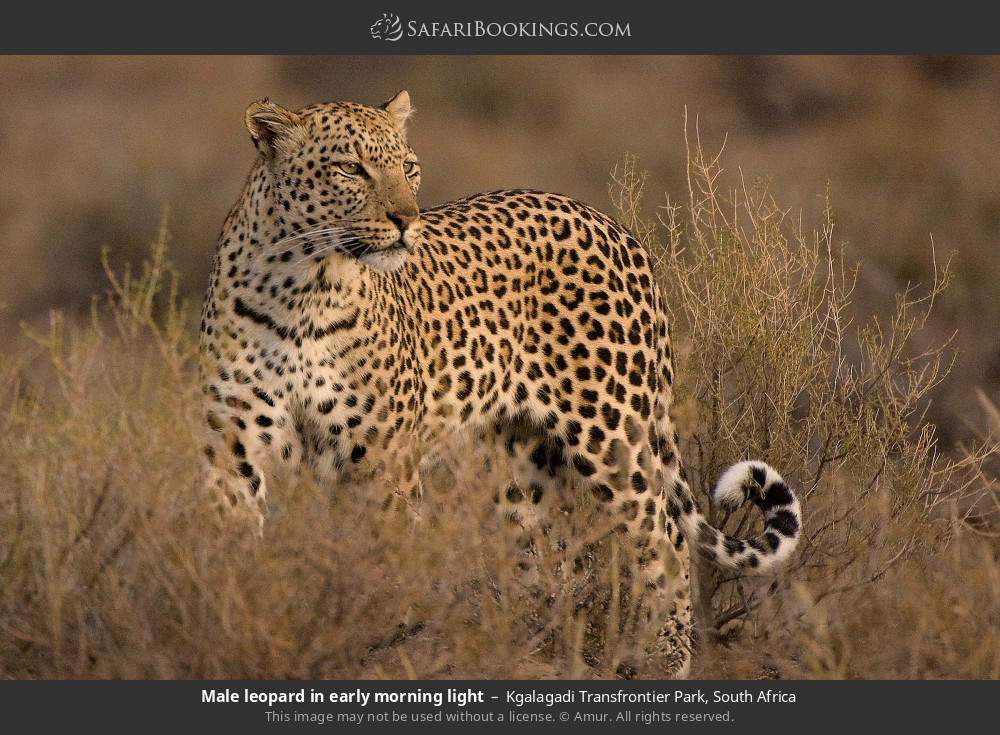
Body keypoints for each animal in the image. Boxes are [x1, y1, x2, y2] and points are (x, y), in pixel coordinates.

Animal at [198, 90, 802, 678]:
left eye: (409, 167)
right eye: (351, 169)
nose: (406, 220)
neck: (300, 289)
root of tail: (616, 226)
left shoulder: (383, 460)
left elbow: (383, 561)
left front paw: (375, 635)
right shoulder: (233, 451)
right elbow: (231, 548)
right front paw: (232, 618)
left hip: (612, 434)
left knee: (665, 538)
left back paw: (664, 659)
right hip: (519, 469)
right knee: (552, 558)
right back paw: (530, 645)